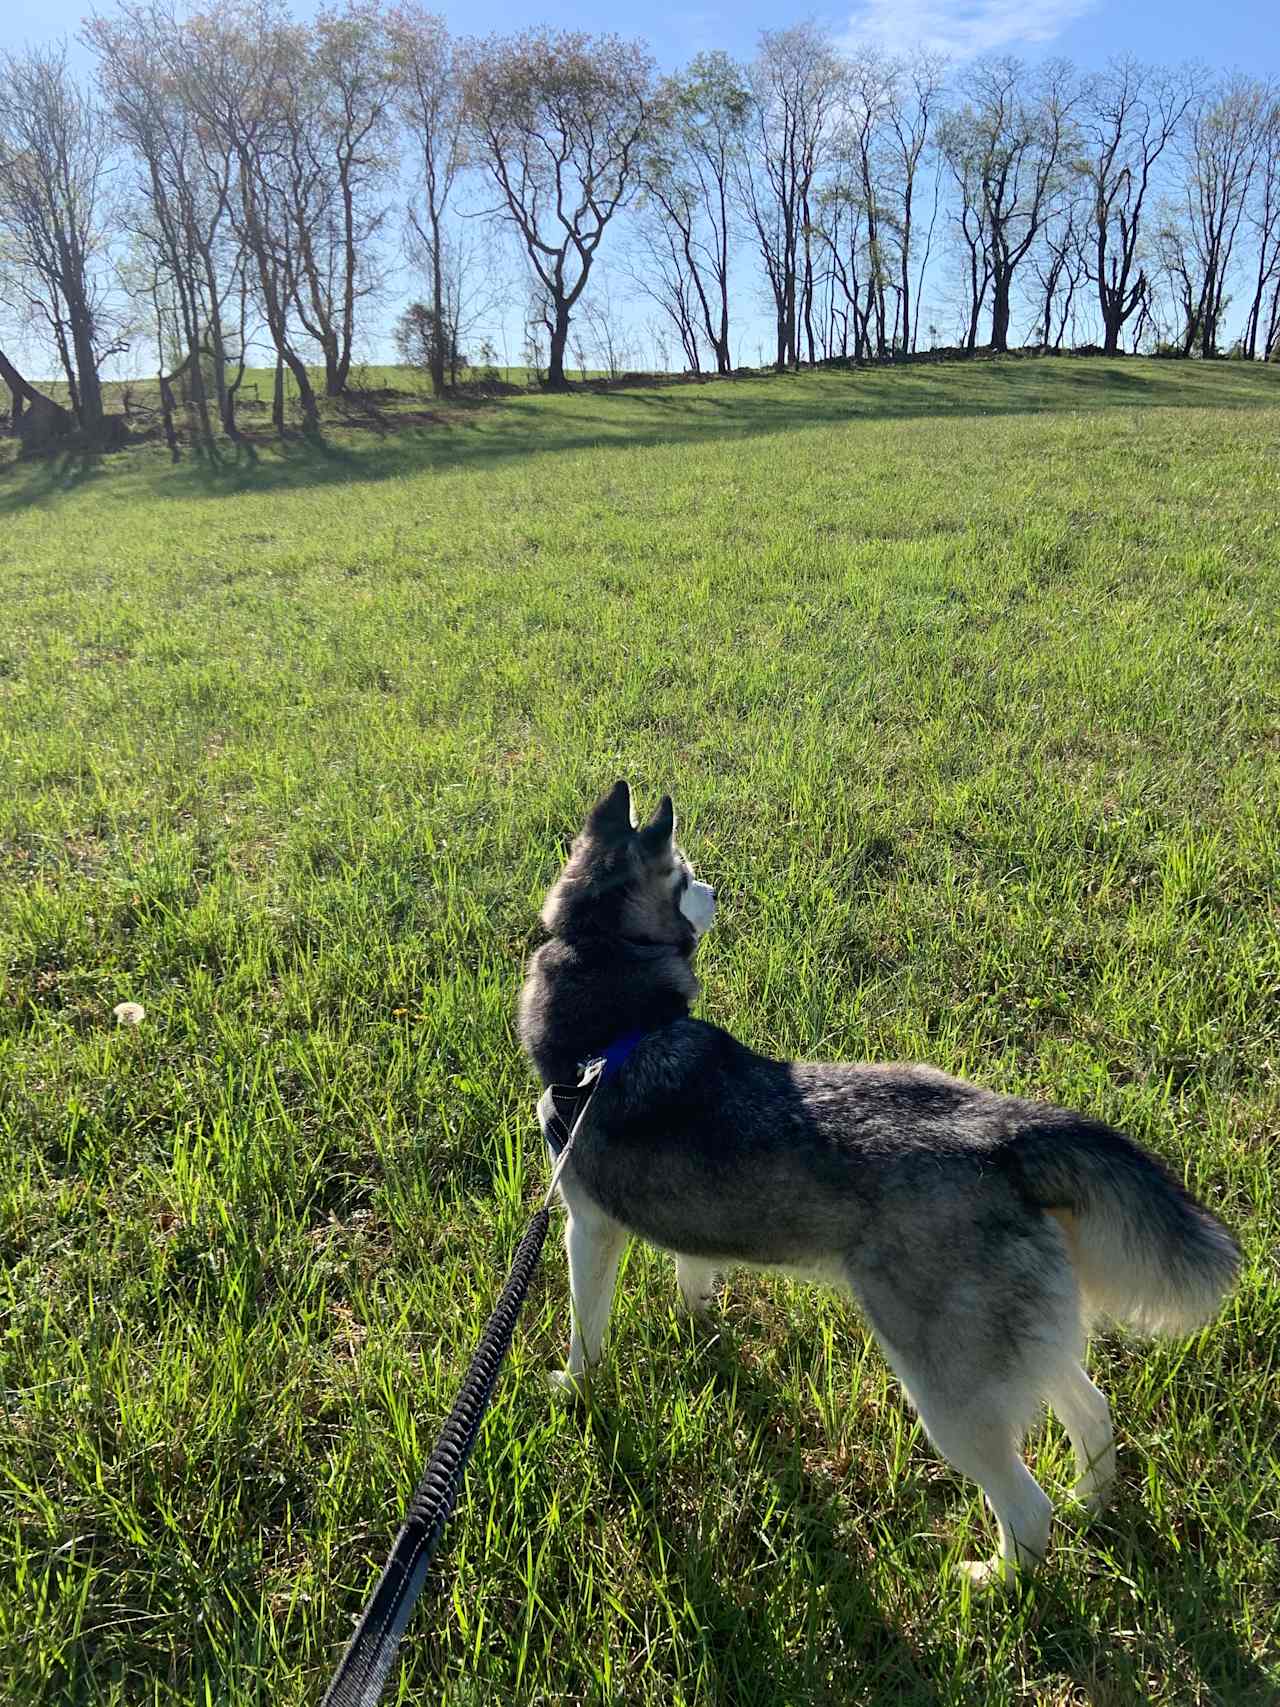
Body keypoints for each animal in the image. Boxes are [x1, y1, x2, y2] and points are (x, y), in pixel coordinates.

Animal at [518, 785, 1242, 1584]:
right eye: (687, 877)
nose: (720, 887)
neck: (616, 1031)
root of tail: (1001, 1130)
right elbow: (694, 1271)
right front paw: (701, 1329)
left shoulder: (586, 1227)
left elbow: (586, 1330)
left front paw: (573, 1386)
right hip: (1022, 1340)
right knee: (1094, 1413)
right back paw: (1092, 1505)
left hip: (949, 1386)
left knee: (1026, 1507)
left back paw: (993, 1581)